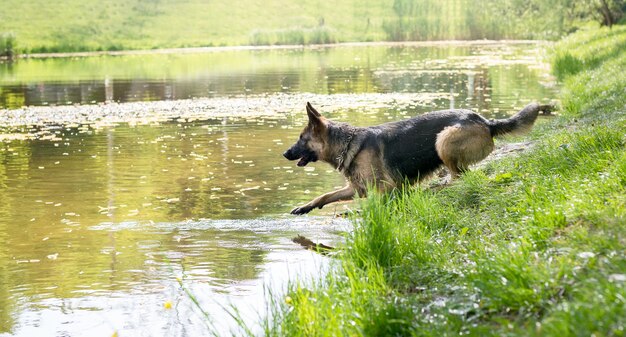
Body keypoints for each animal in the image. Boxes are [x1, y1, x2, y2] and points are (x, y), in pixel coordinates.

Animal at [282, 101, 552, 214]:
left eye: (301, 138)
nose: (285, 153)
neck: (347, 142)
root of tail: (486, 121)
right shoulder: (356, 188)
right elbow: (325, 195)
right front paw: (305, 207)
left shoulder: (384, 187)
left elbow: (375, 204)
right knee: (461, 176)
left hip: (443, 140)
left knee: (460, 177)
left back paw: (438, 189)